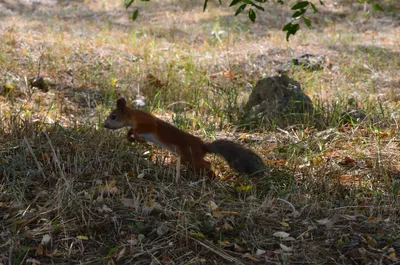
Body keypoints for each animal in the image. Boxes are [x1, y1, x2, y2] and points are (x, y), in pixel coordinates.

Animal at [104, 98, 266, 178]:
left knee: (206, 164)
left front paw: (138, 137)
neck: (134, 116)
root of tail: (203, 146)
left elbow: (146, 128)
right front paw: (130, 136)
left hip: (191, 157)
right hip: (187, 159)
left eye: (113, 116)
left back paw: (211, 178)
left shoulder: (148, 123)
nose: (104, 125)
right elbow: (131, 132)